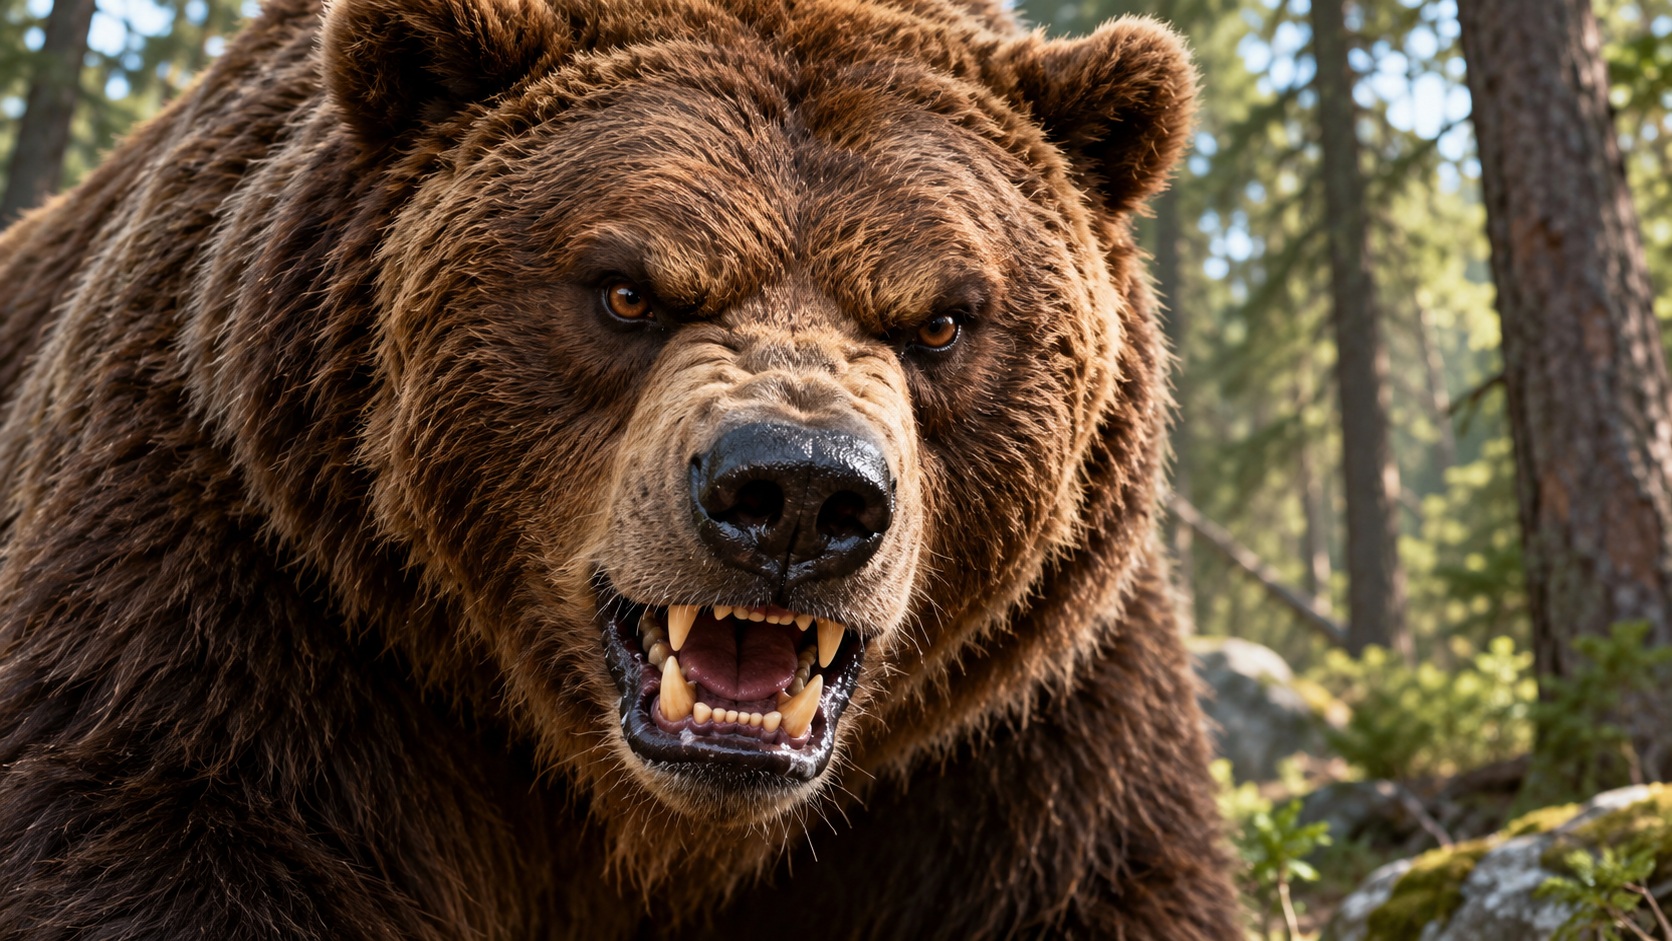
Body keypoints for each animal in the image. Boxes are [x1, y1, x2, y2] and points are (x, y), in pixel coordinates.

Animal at [0, 0, 1240, 936]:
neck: (653, 818)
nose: (797, 494)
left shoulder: (1023, 743)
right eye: (628, 289)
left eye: (940, 319)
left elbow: (1092, 881)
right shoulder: (255, 590)